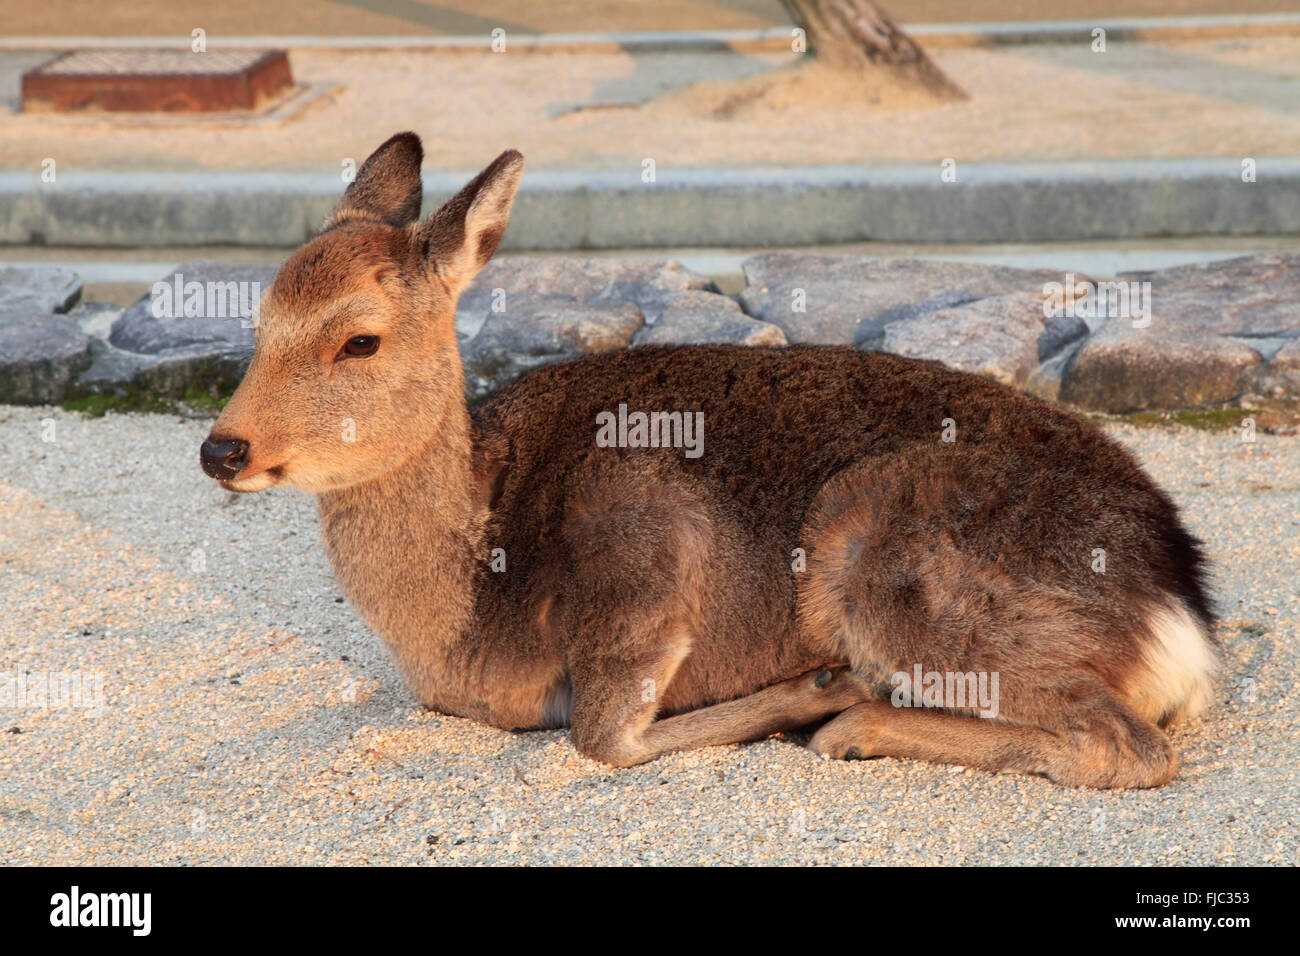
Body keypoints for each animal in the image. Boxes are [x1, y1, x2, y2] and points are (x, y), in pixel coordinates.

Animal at [200, 134, 1216, 790]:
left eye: (359, 341)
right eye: (257, 322)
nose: (222, 448)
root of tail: (1182, 615)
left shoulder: (644, 530)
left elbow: (600, 738)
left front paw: (813, 688)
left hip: (894, 567)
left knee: (1127, 745)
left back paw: (850, 715)